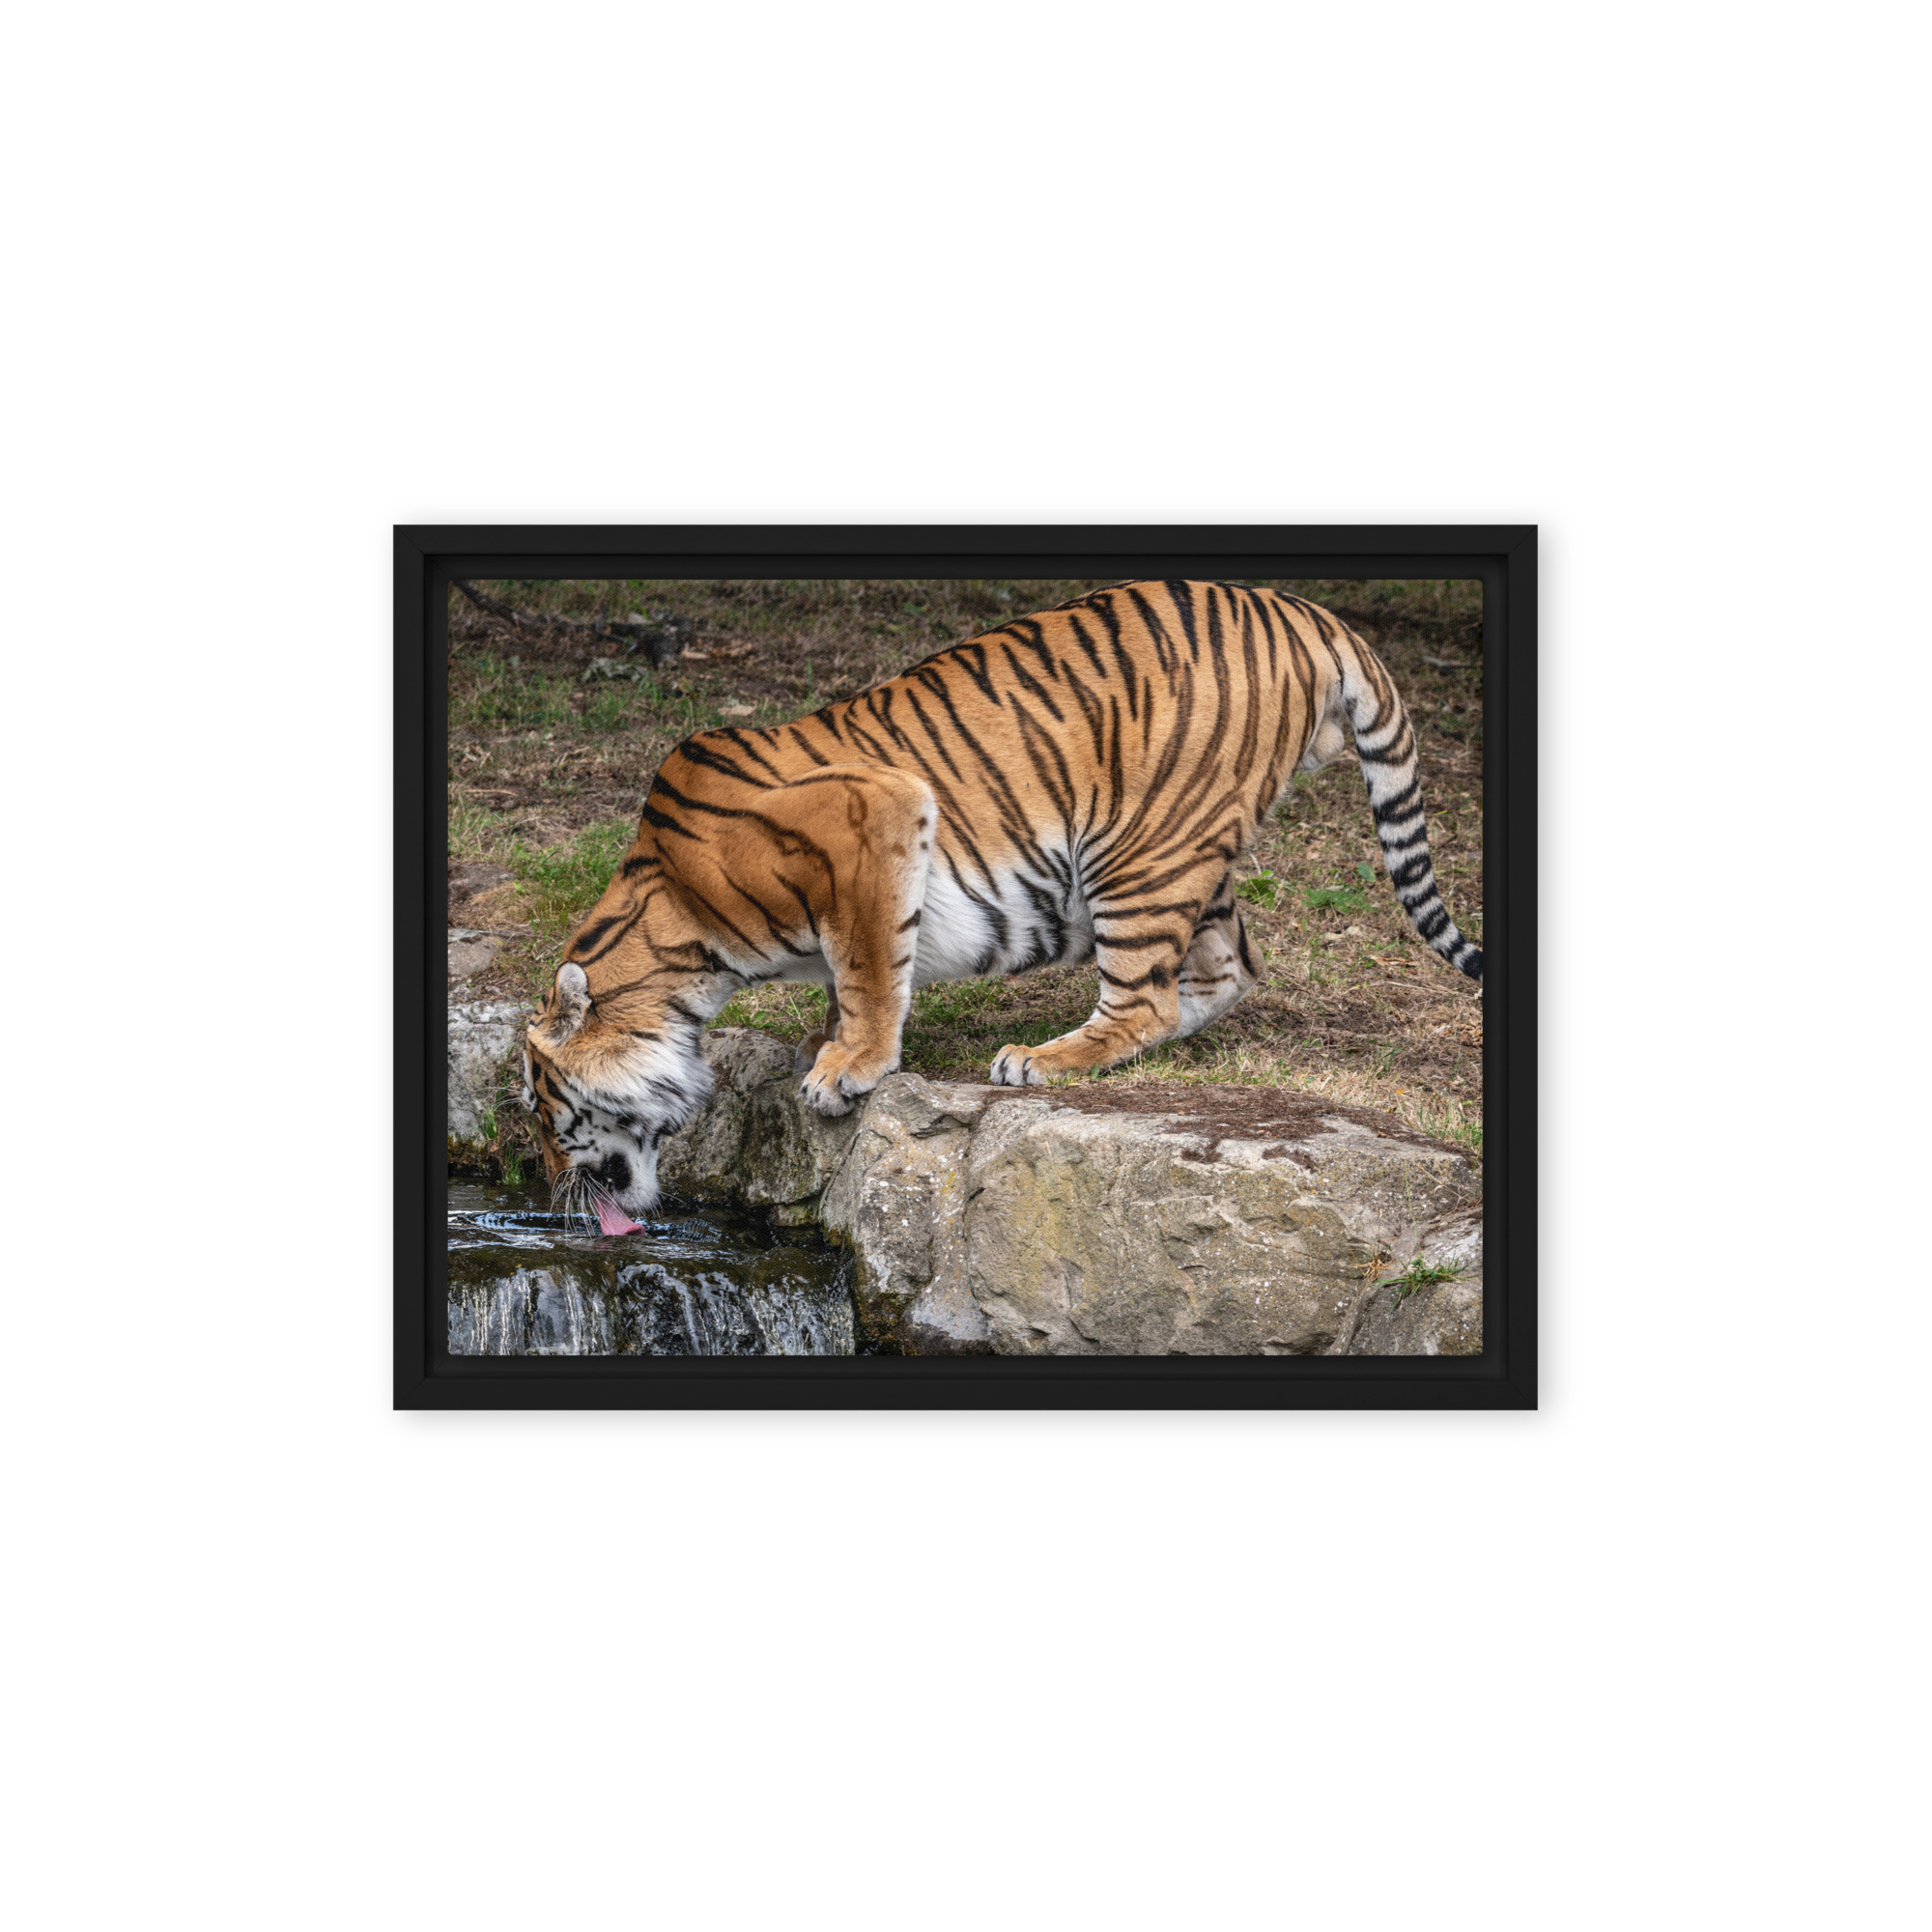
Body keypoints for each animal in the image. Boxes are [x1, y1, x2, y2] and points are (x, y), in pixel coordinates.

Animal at [522, 579, 1481, 1223]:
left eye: (542, 1107)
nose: (547, 1184)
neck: (680, 936)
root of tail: (1302, 608)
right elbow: (846, 975)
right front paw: (819, 1045)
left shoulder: (875, 815)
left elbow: (868, 967)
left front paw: (847, 1068)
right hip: (1190, 851)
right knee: (1226, 969)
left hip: (1135, 848)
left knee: (1144, 998)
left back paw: (1043, 1059)